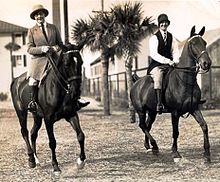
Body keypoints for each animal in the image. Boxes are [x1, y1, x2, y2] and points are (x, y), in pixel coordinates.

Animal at [131, 25, 211, 162]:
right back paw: (154, 145)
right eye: (193, 44)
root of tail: (137, 82)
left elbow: (204, 126)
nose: (207, 63)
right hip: (141, 110)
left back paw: (149, 146)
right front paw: (175, 152)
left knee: (147, 125)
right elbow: (175, 131)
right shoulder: (175, 112)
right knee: (142, 125)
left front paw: (207, 154)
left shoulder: (194, 108)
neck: (184, 80)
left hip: (152, 112)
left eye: (204, 43)